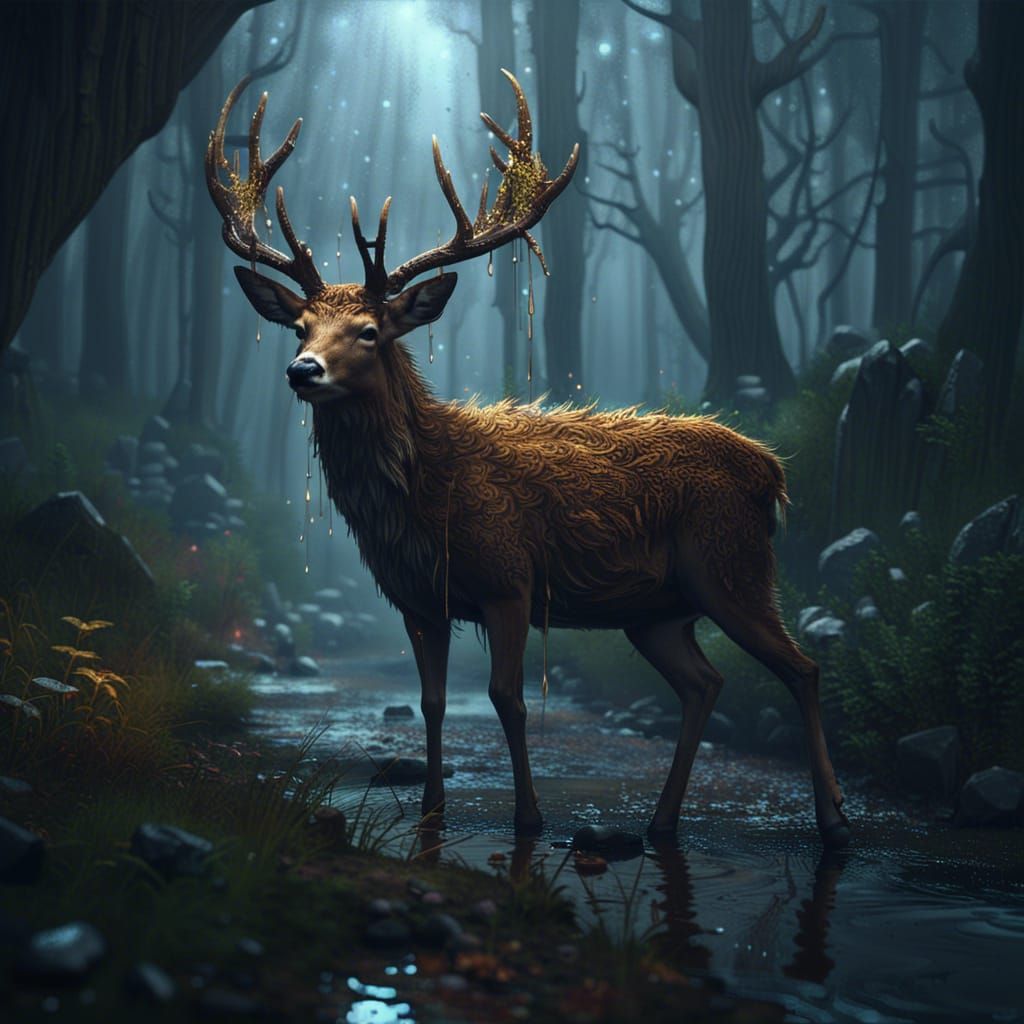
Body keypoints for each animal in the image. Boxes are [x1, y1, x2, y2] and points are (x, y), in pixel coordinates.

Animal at [205, 71, 851, 849]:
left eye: (368, 331)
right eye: (299, 326)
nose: (303, 371)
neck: (428, 491)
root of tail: (771, 472)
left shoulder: (509, 576)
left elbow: (506, 698)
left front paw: (529, 817)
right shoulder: (416, 600)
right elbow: (432, 701)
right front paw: (432, 811)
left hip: (733, 567)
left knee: (802, 667)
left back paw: (833, 819)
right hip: (657, 610)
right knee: (706, 682)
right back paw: (662, 821)